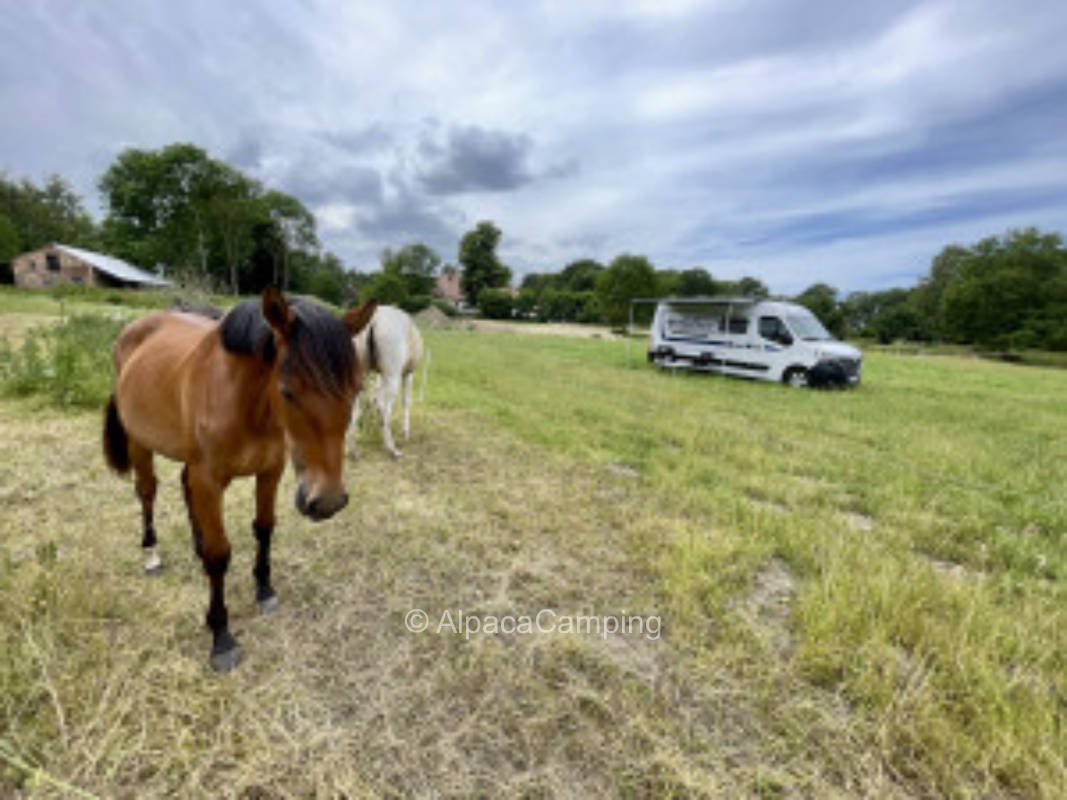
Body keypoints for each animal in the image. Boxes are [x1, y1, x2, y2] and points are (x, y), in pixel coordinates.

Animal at [100, 288, 375, 669]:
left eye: (356, 388)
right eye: (287, 392)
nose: (328, 501)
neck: (244, 402)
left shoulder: (269, 471)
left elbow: (264, 529)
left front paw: (264, 590)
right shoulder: (209, 478)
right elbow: (219, 554)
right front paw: (221, 636)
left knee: (183, 488)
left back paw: (195, 545)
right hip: (139, 442)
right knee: (147, 491)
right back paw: (152, 554)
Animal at [345, 305, 420, 456]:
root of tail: (373, 319)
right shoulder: (408, 374)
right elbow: (406, 401)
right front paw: (405, 432)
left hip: (360, 372)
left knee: (356, 405)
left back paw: (351, 449)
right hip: (392, 375)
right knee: (383, 406)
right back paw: (391, 448)